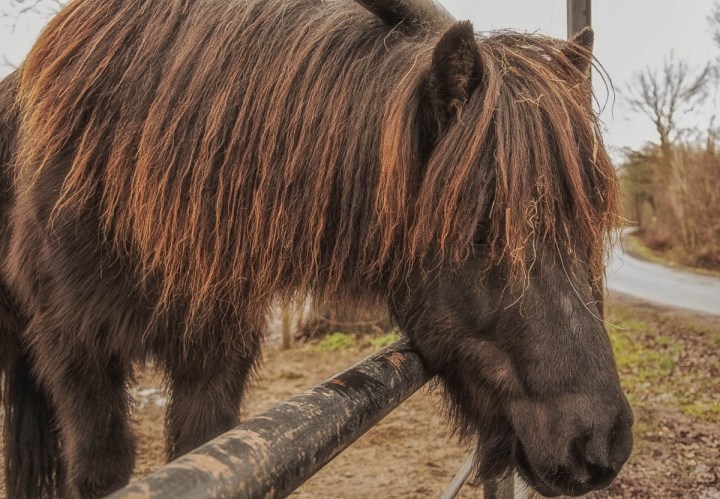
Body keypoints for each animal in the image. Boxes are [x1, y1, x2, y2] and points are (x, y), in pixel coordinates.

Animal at [0, 0, 633, 497]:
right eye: (482, 226)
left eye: (584, 220)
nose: (600, 442)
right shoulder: (79, 358)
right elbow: (99, 470)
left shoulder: (216, 356)